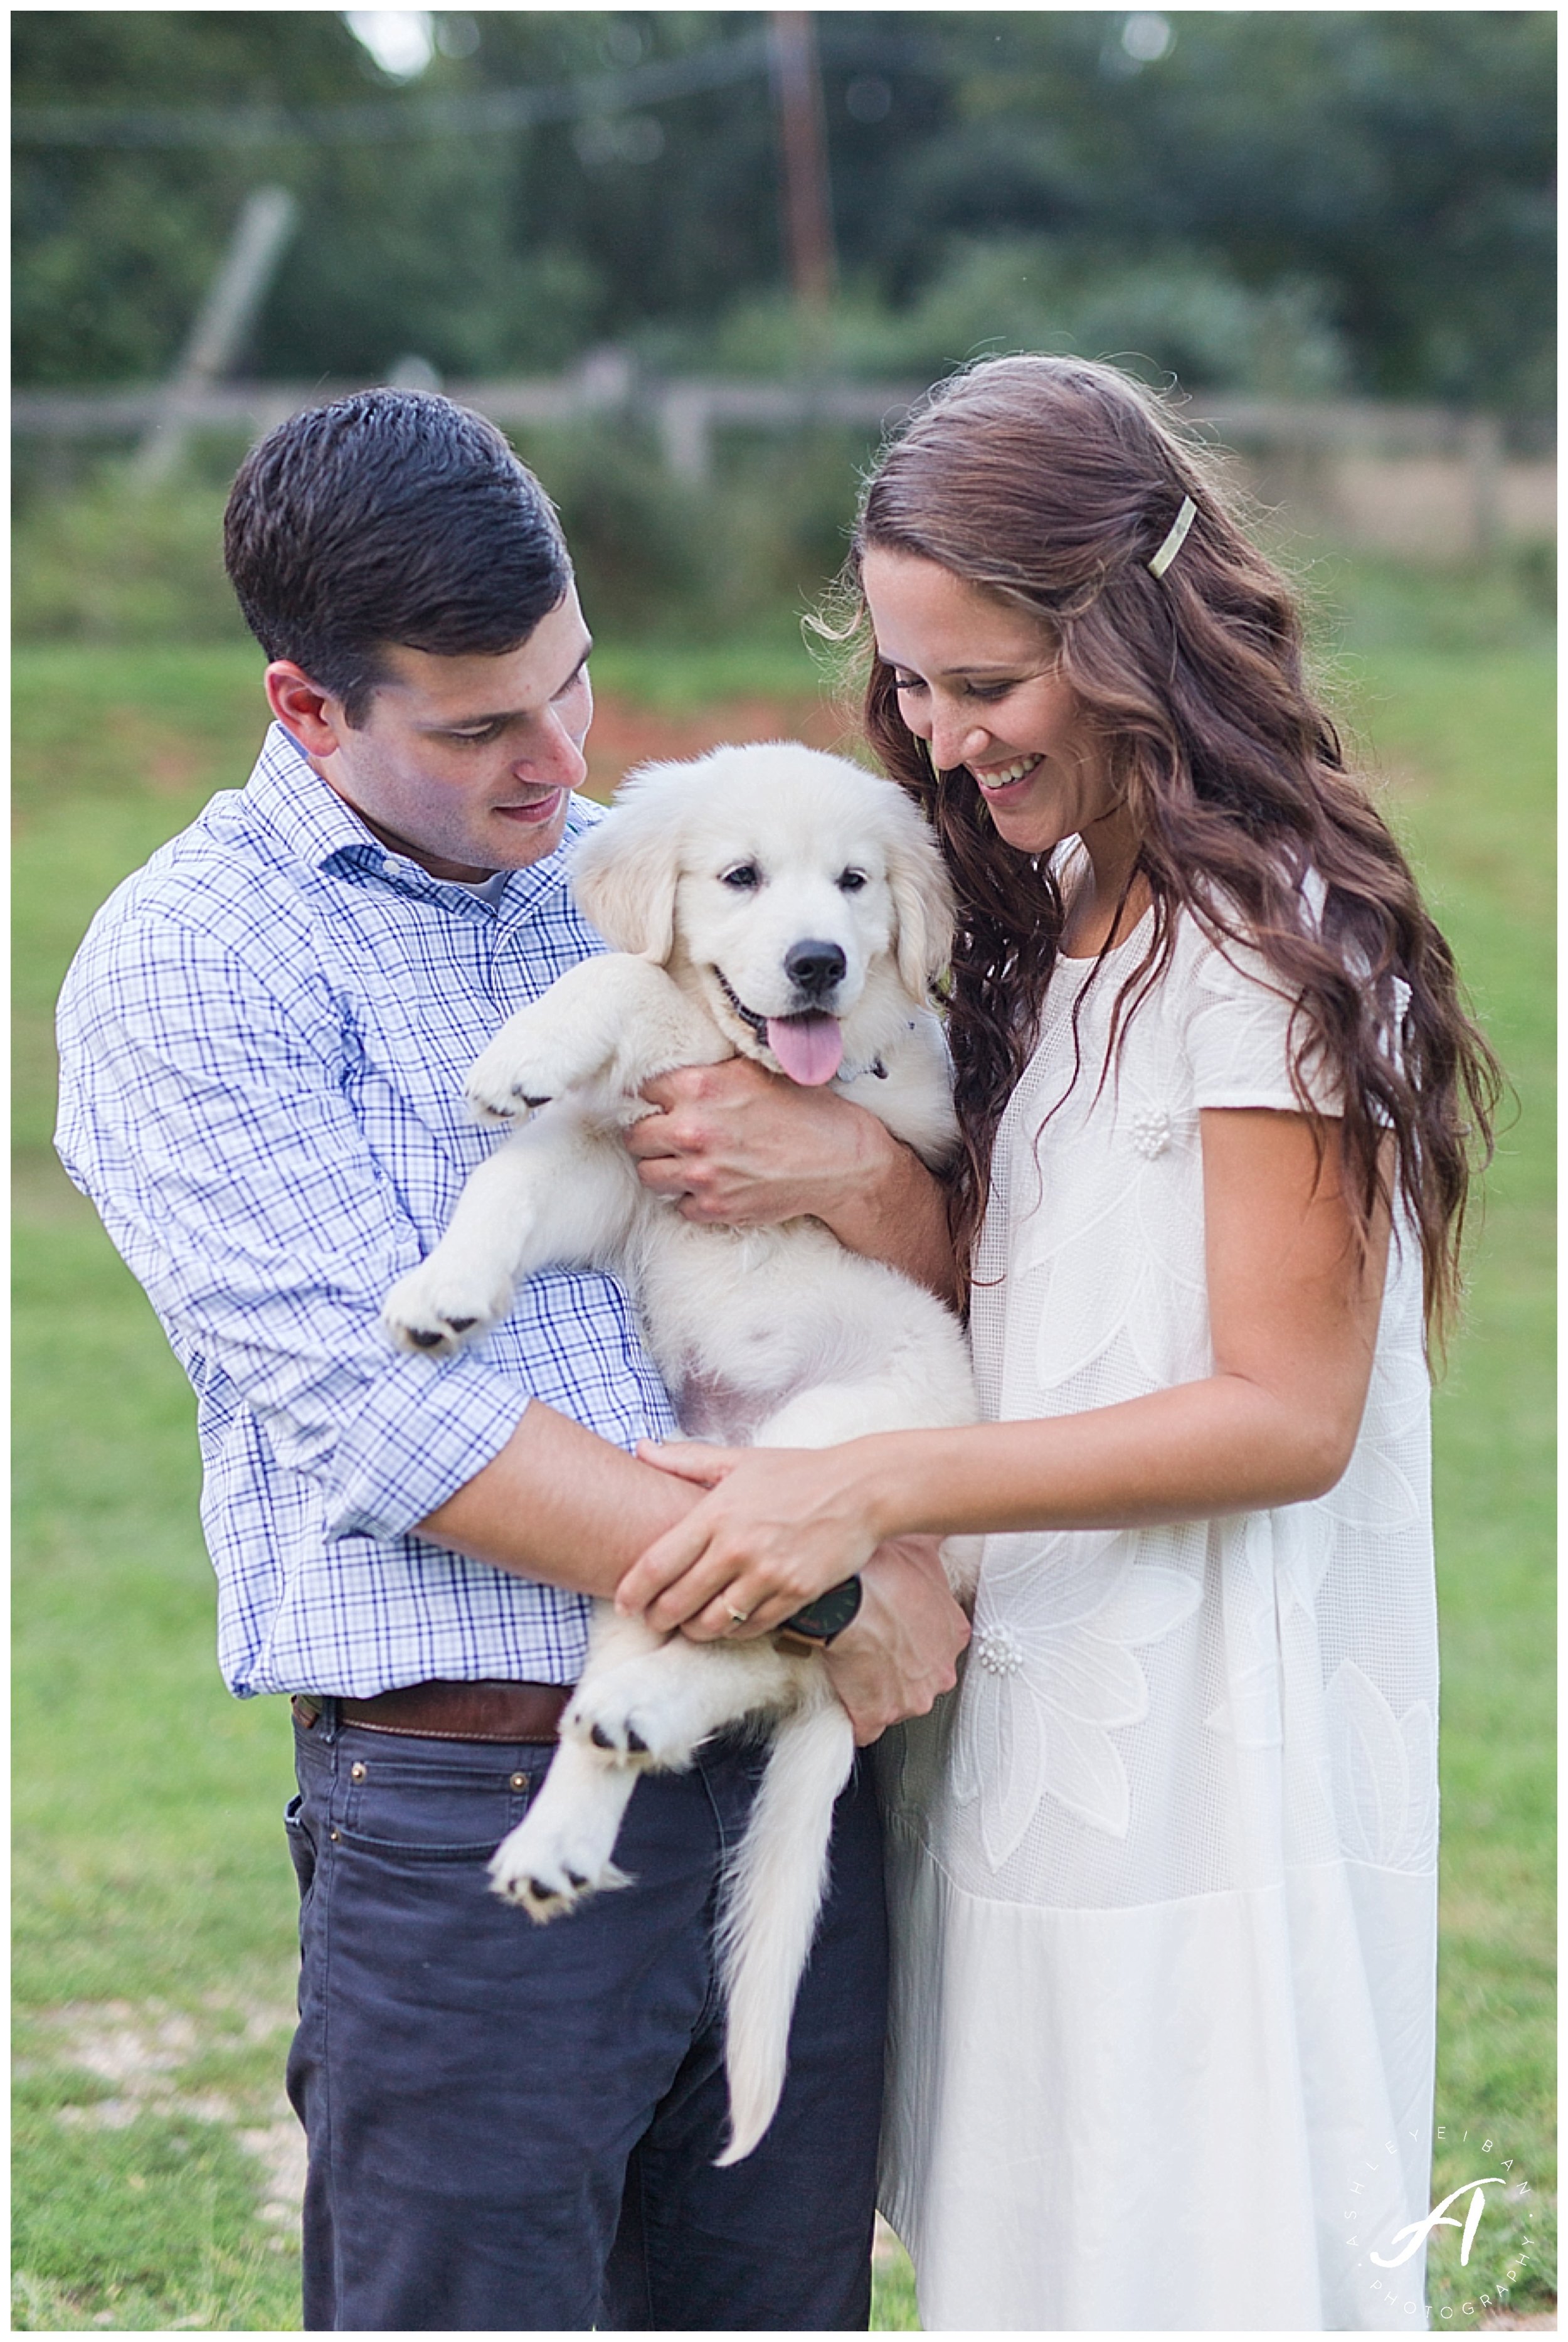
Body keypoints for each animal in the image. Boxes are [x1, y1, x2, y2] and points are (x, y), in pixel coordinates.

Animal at [381, 745, 978, 2154]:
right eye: (740, 876)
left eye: (855, 884)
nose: (817, 962)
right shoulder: (615, 1170)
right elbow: (510, 1175)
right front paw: (445, 1292)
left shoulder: (868, 1090)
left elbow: (635, 991)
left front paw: (522, 1055)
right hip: (652, 1519)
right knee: (693, 1660)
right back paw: (571, 1810)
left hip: (808, 1470)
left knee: (758, 1631)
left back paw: (636, 1718)